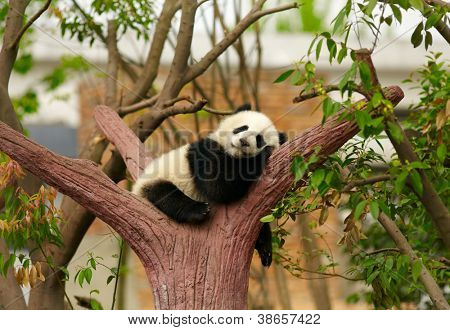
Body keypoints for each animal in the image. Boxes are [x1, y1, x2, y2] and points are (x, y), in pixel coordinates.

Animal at [132, 104, 286, 266]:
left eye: (259, 139)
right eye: (242, 128)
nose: (243, 141)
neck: (233, 154)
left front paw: (265, 247)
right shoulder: (204, 152)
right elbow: (218, 187)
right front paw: (262, 155)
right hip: (156, 179)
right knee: (166, 194)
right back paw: (198, 210)